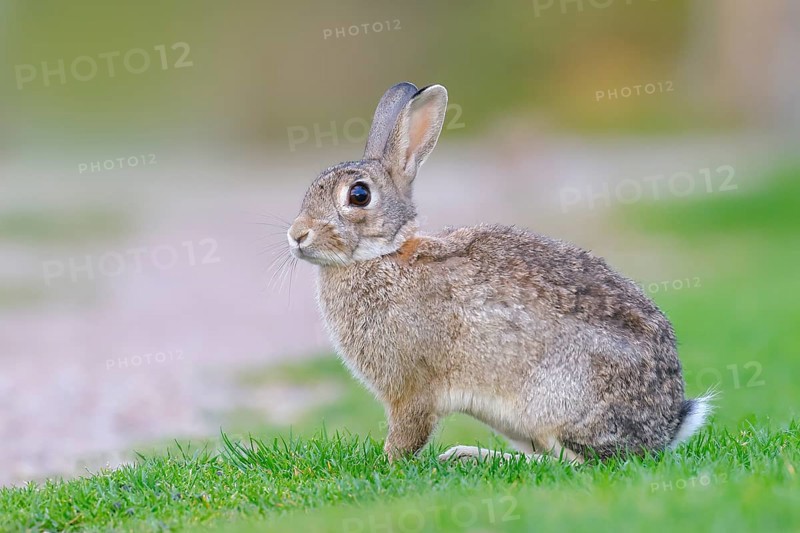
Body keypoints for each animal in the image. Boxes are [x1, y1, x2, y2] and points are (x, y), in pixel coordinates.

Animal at [286, 81, 712, 463]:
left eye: (359, 196)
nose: (297, 235)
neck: (382, 255)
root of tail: (665, 428)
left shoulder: (412, 389)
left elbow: (408, 432)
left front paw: (389, 463)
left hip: (553, 403)